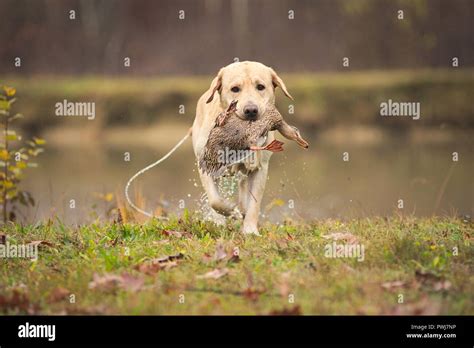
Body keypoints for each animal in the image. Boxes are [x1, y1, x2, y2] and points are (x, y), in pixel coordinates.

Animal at [192, 61, 294, 235]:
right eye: (235, 89)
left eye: (260, 87)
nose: (251, 110)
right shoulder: (205, 165)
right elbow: (215, 200)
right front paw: (230, 212)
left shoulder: (260, 168)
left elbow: (254, 204)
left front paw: (250, 230)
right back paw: (221, 220)